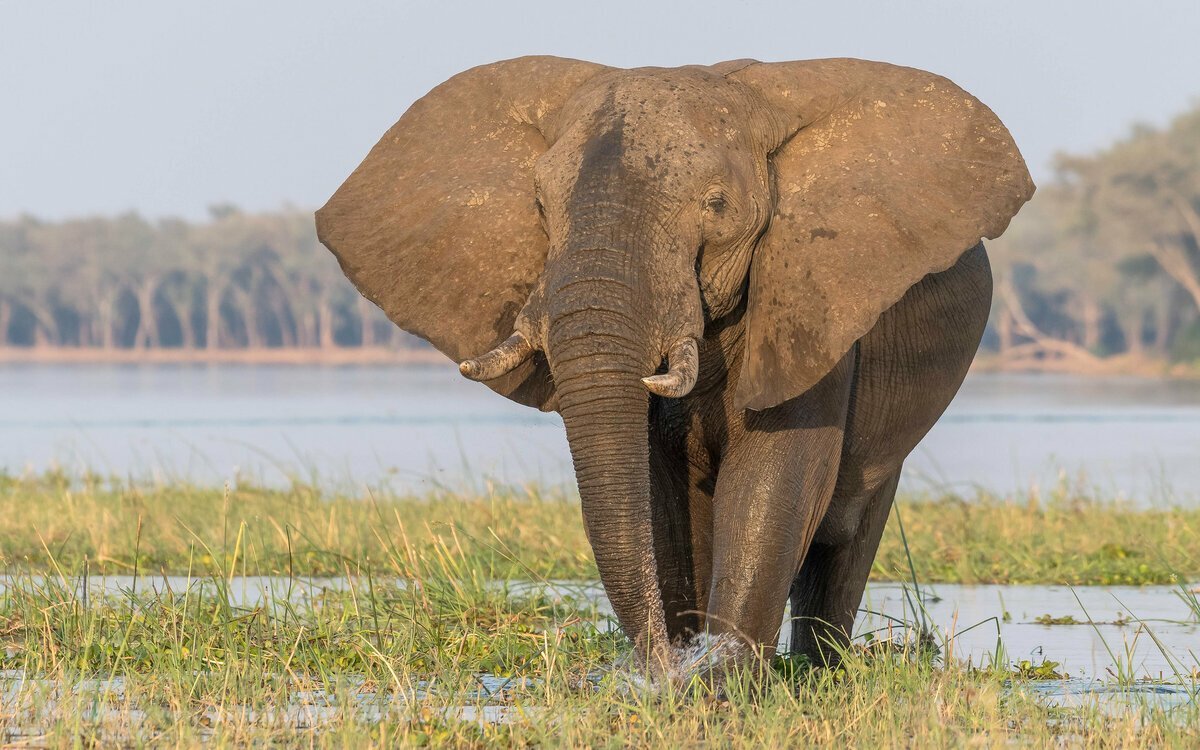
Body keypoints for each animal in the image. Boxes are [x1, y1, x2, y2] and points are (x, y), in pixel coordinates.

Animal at [315, 56, 1034, 679]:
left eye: (716, 206)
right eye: (542, 207)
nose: (660, 664)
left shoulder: (811, 300)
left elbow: (778, 474)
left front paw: (721, 686)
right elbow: (661, 491)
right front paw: (686, 677)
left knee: (848, 527)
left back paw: (818, 672)